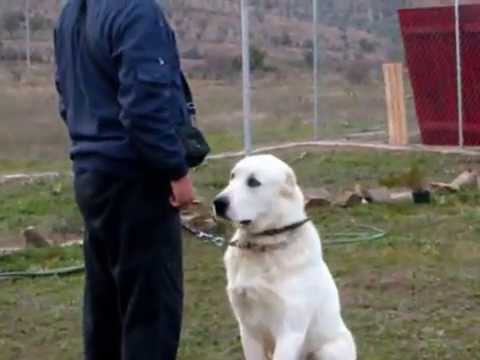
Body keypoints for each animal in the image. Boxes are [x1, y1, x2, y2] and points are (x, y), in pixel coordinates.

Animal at [214, 155, 356, 360]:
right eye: (232, 176)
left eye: (253, 182)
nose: (218, 203)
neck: (262, 245)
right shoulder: (248, 329)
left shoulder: (289, 332)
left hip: (328, 350)